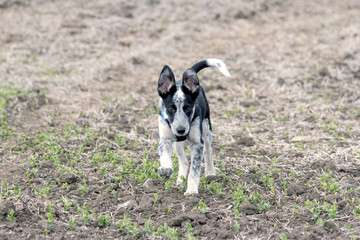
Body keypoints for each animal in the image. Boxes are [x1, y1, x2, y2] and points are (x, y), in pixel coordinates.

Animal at [157, 58, 231, 195]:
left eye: (188, 108)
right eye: (171, 108)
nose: (181, 130)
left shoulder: (197, 143)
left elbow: (194, 170)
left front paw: (191, 191)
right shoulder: (165, 139)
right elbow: (164, 153)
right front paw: (165, 168)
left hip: (207, 129)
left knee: (208, 151)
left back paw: (210, 173)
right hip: (177, 144)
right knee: (183, 160)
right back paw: (180, 180)